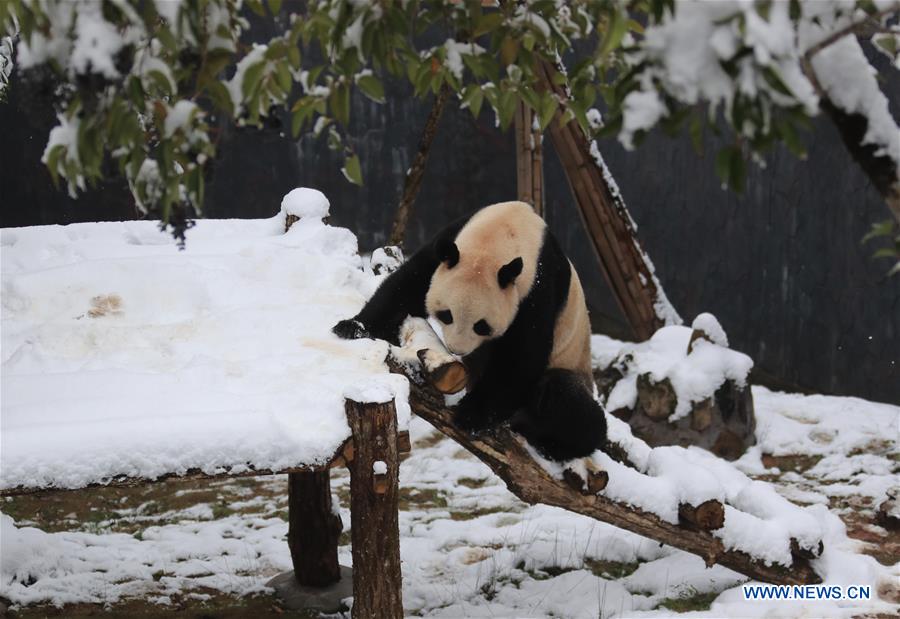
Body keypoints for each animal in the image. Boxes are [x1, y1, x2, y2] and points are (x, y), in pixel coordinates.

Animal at [334, 201, 608, 462]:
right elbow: (406, 287)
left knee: (568, 400)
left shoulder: (538, 287)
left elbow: (522, 356)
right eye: (447, 314)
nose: (457, 349)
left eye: (481, 325)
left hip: (572, 367)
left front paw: (471, 415)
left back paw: (547, 440)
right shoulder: (447, 245)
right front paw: (353, 328)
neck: (502, 237)